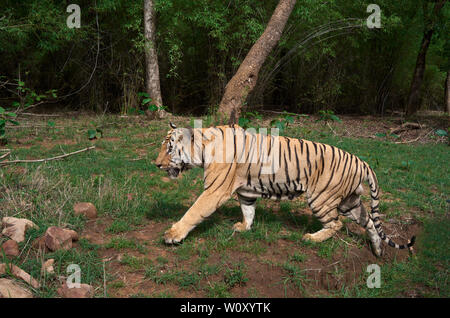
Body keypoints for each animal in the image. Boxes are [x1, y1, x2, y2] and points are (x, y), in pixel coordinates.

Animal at [155, 121, 414, 256]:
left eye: (169, 149)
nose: (156, 164)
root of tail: (361, 161)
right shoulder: (245, 192)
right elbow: (248, 210)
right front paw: (244, 227)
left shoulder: (214, 190)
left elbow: (193, 212)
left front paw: (172, 235)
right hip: (348, 201)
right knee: (369, 220)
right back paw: (378, 249)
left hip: (322, 199)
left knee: (337, 224)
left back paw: (312, 239)